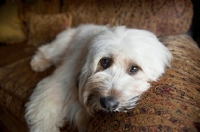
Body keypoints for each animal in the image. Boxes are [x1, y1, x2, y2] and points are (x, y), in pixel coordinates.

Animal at [24, 24, 172, 131]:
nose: (108, 103)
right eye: (105, 61)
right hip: (60, 47)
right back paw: (37, 63)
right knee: (47, 51)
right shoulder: (58, 83)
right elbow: (44, 109)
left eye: (134, 68)